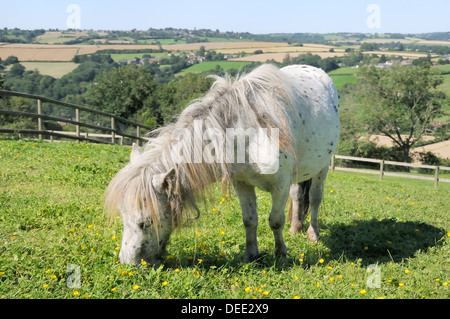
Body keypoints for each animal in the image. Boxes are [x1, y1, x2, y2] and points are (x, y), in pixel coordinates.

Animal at [104, 63, 338, 266]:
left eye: (146, 223)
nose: (127, 262)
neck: (249, 134)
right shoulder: (242, 183)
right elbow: (249, 220)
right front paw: (250, 255)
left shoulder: (279, 185)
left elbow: (275, 221)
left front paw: (281, 255)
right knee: (298, 196)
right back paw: (295, 228)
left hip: (322, 168)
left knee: (315, 199)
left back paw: (312, 234)